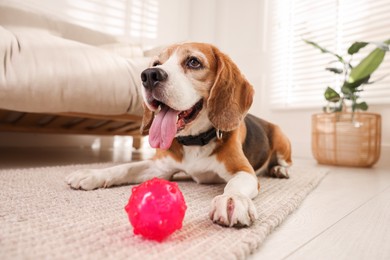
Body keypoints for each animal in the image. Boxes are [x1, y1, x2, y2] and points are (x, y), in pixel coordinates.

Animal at [66, 42, 292, 228]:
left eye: (193, 62)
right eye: (156, 63)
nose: (148, 75)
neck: (195, 142)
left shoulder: (243, 170)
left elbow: (234, 185)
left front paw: (232, 200)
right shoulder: (159, 168)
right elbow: (124, 167)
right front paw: (93, 174)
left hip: (282, 141)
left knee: (285, 162)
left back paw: (279, 170)